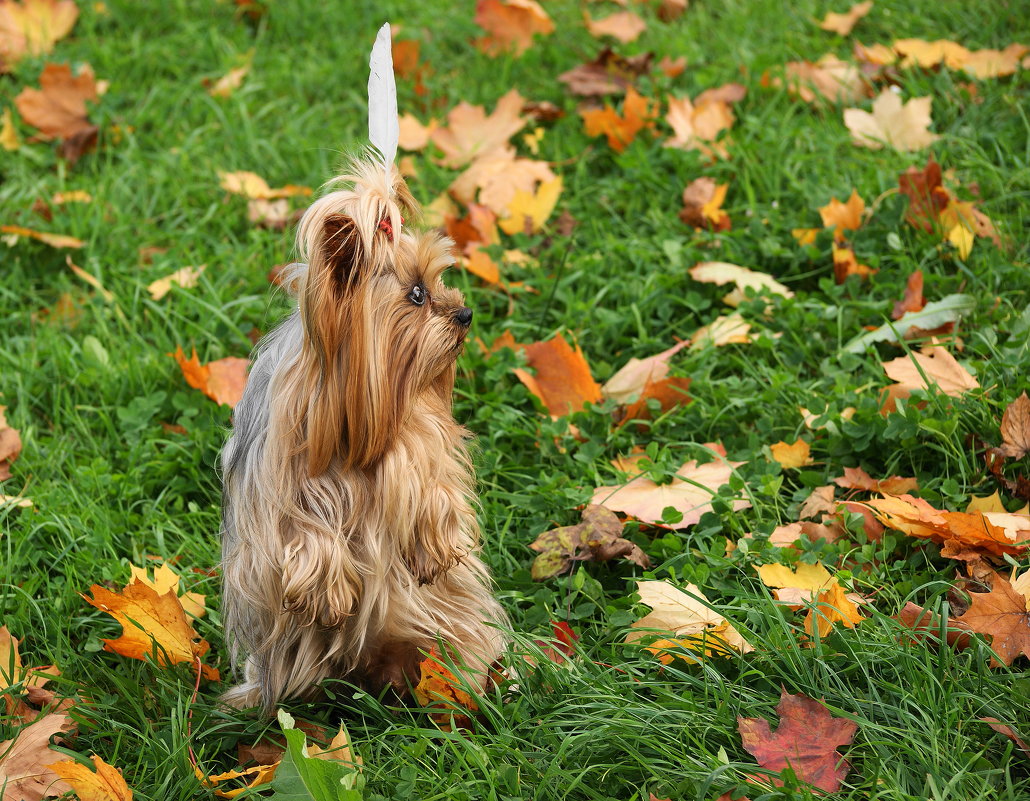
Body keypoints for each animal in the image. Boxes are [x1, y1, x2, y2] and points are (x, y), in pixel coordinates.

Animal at [218, 153, 506, 708]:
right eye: (416, 294)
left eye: (438, 282)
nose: (465, 313)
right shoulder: (277, 473)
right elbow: (298, 530)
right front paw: (326, 588)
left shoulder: (421, 438)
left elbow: (433, 486)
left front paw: (433, 543)